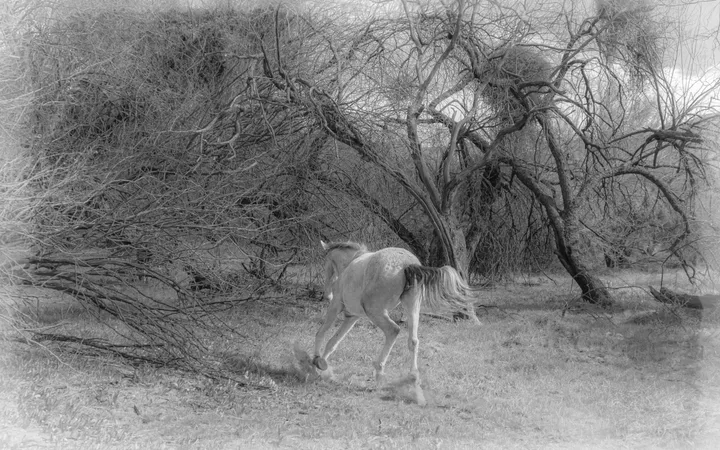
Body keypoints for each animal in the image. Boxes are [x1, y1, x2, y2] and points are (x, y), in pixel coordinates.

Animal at [313, 240, 480, 405]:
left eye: (327, 263)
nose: (327, 295)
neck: (351, 262)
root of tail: (408, 264)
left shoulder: (336, 307)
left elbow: (322, 332)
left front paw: (318, 362)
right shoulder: (352, 317)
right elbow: (333, 342)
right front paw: (323, 365)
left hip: (375, 311)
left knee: (393, 330)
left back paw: (379, 374)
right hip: (412, 306)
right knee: (413, 341)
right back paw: (414, 382)